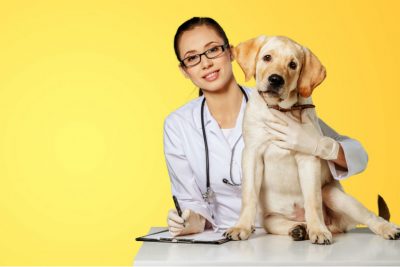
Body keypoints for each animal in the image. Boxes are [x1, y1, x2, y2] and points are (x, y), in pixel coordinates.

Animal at [223, 35, 398, 245]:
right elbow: (248, 196)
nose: (275, 79)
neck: (280, 111)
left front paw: (318, 230)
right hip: (270, 220)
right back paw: (299, 229)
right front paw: (241, 227)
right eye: (267, 58)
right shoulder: (252, 154)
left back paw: (385, 228)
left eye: (292, 65)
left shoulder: (308, 159)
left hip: (333, 194)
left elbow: (312, 200)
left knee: (368, 215)